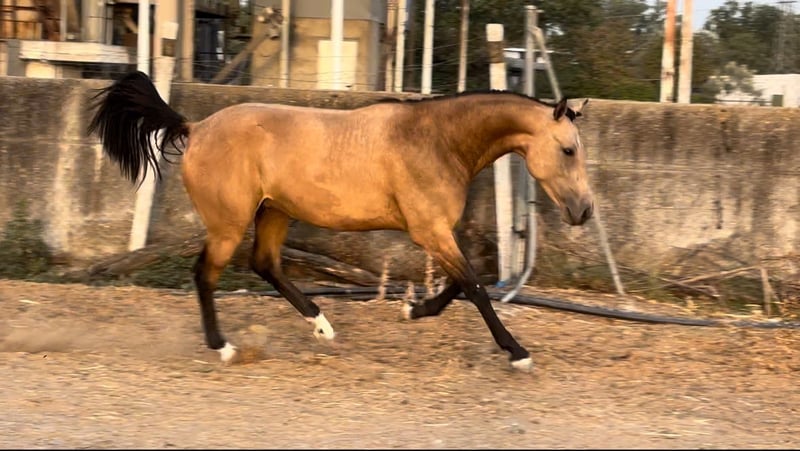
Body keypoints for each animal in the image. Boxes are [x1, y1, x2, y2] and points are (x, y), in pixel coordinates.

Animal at [88, 71, 593, 371]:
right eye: (569, 149)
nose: (585, 210)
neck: (435, 139)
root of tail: (195, 129)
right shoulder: (429, 231)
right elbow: (474, 286)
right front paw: (517, 353)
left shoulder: (436, 233)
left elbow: (469, 281)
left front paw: (413, 310)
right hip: (229, 225)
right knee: (206, 274)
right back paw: (224, 346)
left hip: (275, 212)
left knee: (265, 265)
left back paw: (322, 326)